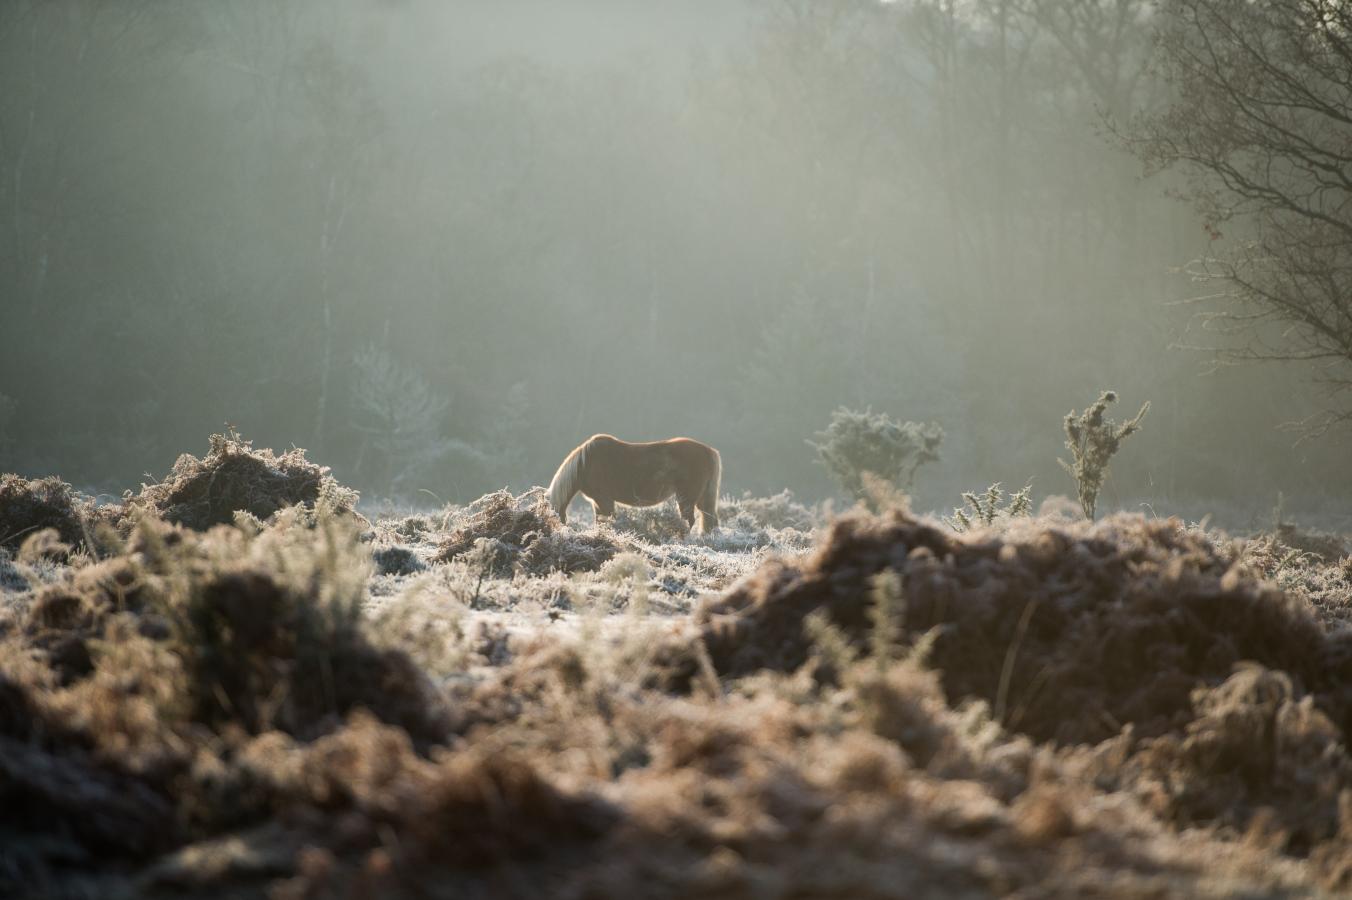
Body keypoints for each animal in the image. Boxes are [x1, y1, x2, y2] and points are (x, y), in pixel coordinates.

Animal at [547, 434, 721, 534]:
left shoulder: (604, 500)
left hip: (687, 498)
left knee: (689, 520)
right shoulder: (597, 502)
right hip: (702, 498)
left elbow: (609, 519)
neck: (585, 464)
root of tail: (709, 451)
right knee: (709, 519)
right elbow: (600, 520)